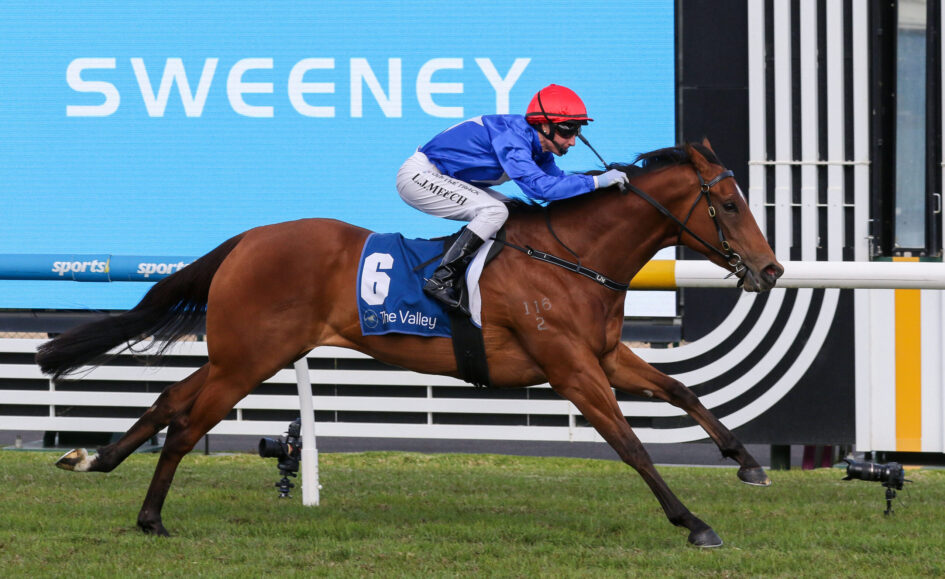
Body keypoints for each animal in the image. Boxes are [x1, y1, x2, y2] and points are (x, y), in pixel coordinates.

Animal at [37, 140, 783, 547]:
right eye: (731, 205)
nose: (771, 269)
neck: (573, 256)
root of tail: (249, 238)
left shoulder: (604, 355)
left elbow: (683, 390)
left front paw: (746, 462)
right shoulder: (569, 366)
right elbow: (630, 444)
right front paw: (694, 521)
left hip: (240, 354)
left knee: (171, 398)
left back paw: (95, 459)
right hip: (248, 357)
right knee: (189, 425)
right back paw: (150, 517)